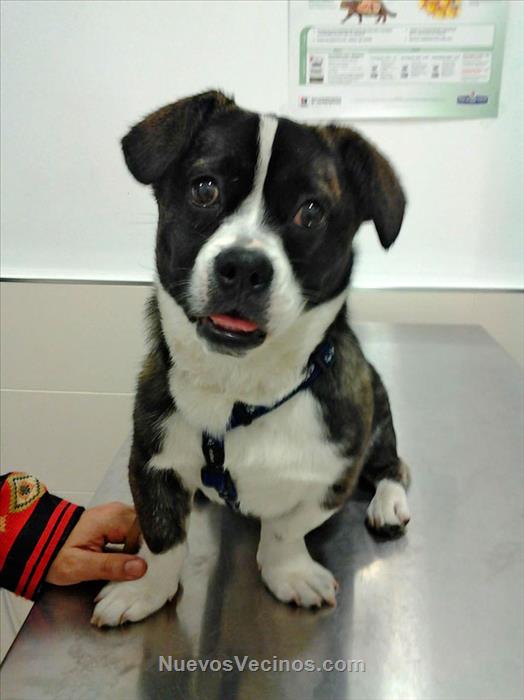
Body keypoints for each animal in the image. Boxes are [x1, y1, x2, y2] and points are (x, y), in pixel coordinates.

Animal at [91, 90, 410, 627]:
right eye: (205, 189)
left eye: (311, 212)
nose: (242, 266)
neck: (240, 388)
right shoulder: (151, 460)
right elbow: (162, 538)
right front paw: (147, 589)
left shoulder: (333, 475)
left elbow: (286, 528)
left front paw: (287, 571)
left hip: (381, 419)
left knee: (393, 465)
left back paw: (388, 502)